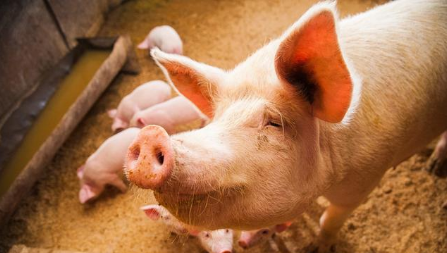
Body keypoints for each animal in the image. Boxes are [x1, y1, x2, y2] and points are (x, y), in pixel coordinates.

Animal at [125, 0, 447, 251]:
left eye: (273, 123)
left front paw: (317, 247)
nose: (151, 135)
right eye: (218, 119)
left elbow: (331, 218)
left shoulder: (365, 179)